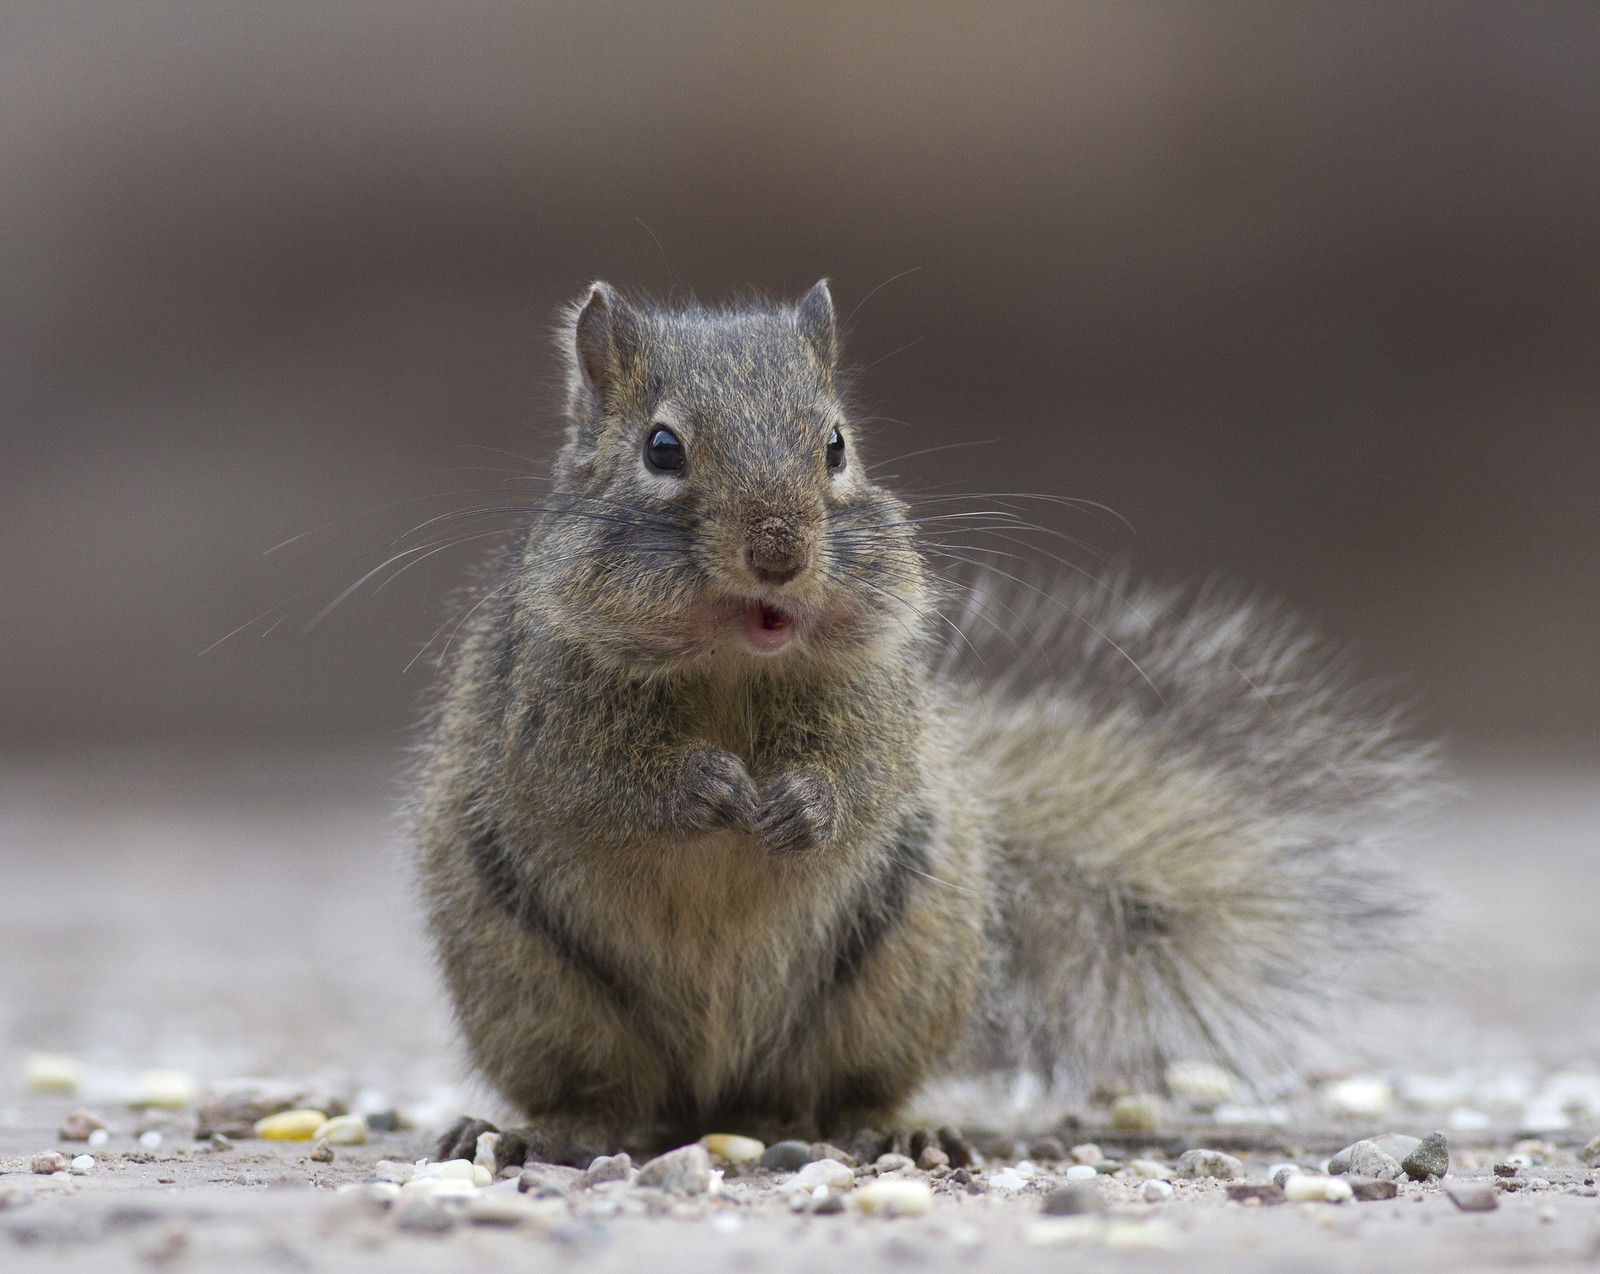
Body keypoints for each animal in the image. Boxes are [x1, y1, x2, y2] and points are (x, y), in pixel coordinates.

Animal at [413, 280, 1430, 1166]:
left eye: (836, 445)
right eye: (661, 449)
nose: (780, 550)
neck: (733, 664)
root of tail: (715, 1095)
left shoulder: (881, 697)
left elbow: (868, 776)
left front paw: (805, 805)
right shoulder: (541, 702)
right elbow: (594, 782)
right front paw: (701, 787)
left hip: (898, 971)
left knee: (841, 1092)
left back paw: (894, 1130)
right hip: (535, 991)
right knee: (601, 1094)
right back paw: (540, 1132)